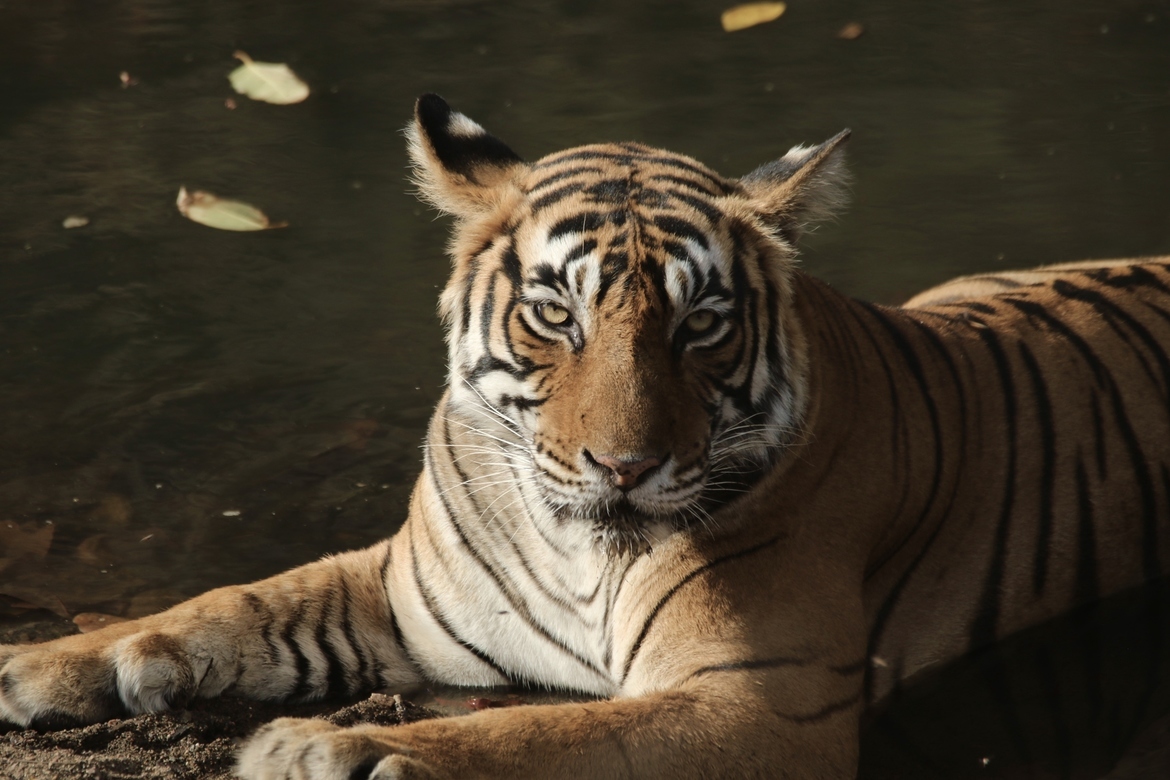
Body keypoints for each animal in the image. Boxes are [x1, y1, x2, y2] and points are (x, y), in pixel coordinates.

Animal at [1, 93, 1169, 780]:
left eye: (700, 325)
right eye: (555, 314)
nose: (625, 466)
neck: (571, 548)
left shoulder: (759, 700)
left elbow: (547, 730)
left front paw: (339, 752)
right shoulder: (401, 589)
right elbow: (233, 604)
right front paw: (46, 663)